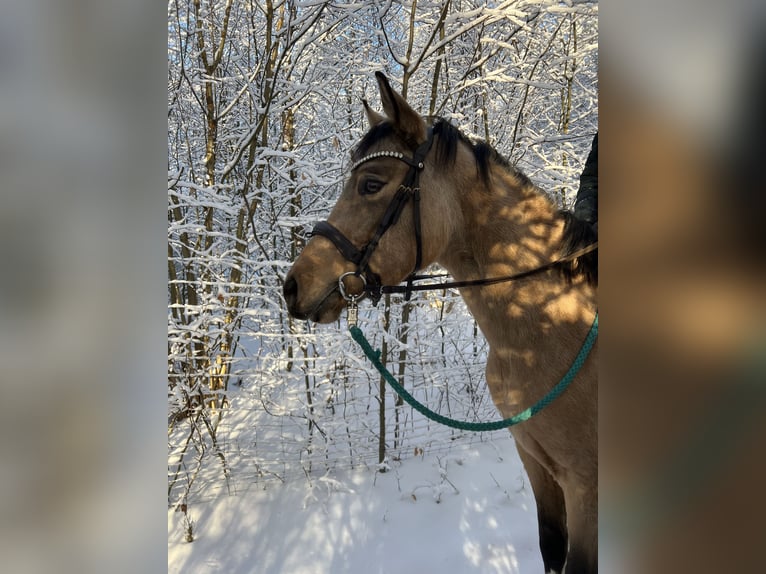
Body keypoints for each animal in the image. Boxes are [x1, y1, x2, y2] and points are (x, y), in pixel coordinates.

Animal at [283, 72, 598, 574]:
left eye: (371, 184)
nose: (293, 285)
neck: (551, 329)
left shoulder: (584, 484)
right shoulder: (536, 463)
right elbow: (551, 547)